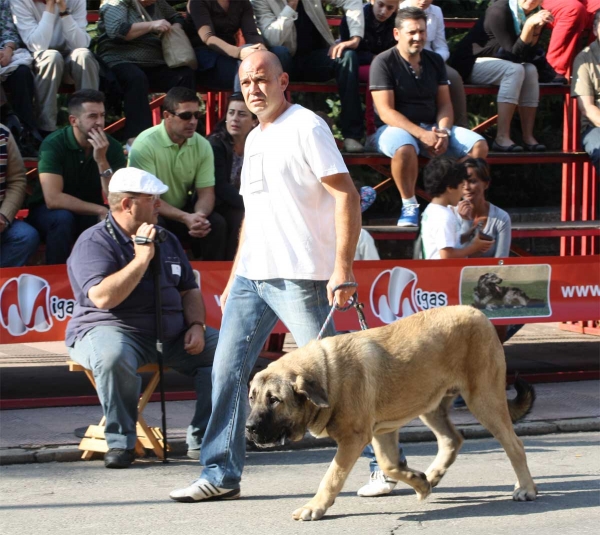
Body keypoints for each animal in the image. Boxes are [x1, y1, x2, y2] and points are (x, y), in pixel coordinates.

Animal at [246, 308, 536, 520]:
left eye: (274, 400)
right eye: (252, 397)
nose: (248, 428)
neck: (327, 376)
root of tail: (480, 314)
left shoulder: (354, 439)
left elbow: (332, 476)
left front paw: (315, 507)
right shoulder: (380, 432)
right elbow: (389, 465)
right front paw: (419, 482)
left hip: (484, 400)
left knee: (515, 445)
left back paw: (525, 488)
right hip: (429, 405)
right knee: (452, 440)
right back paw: (433, 475)